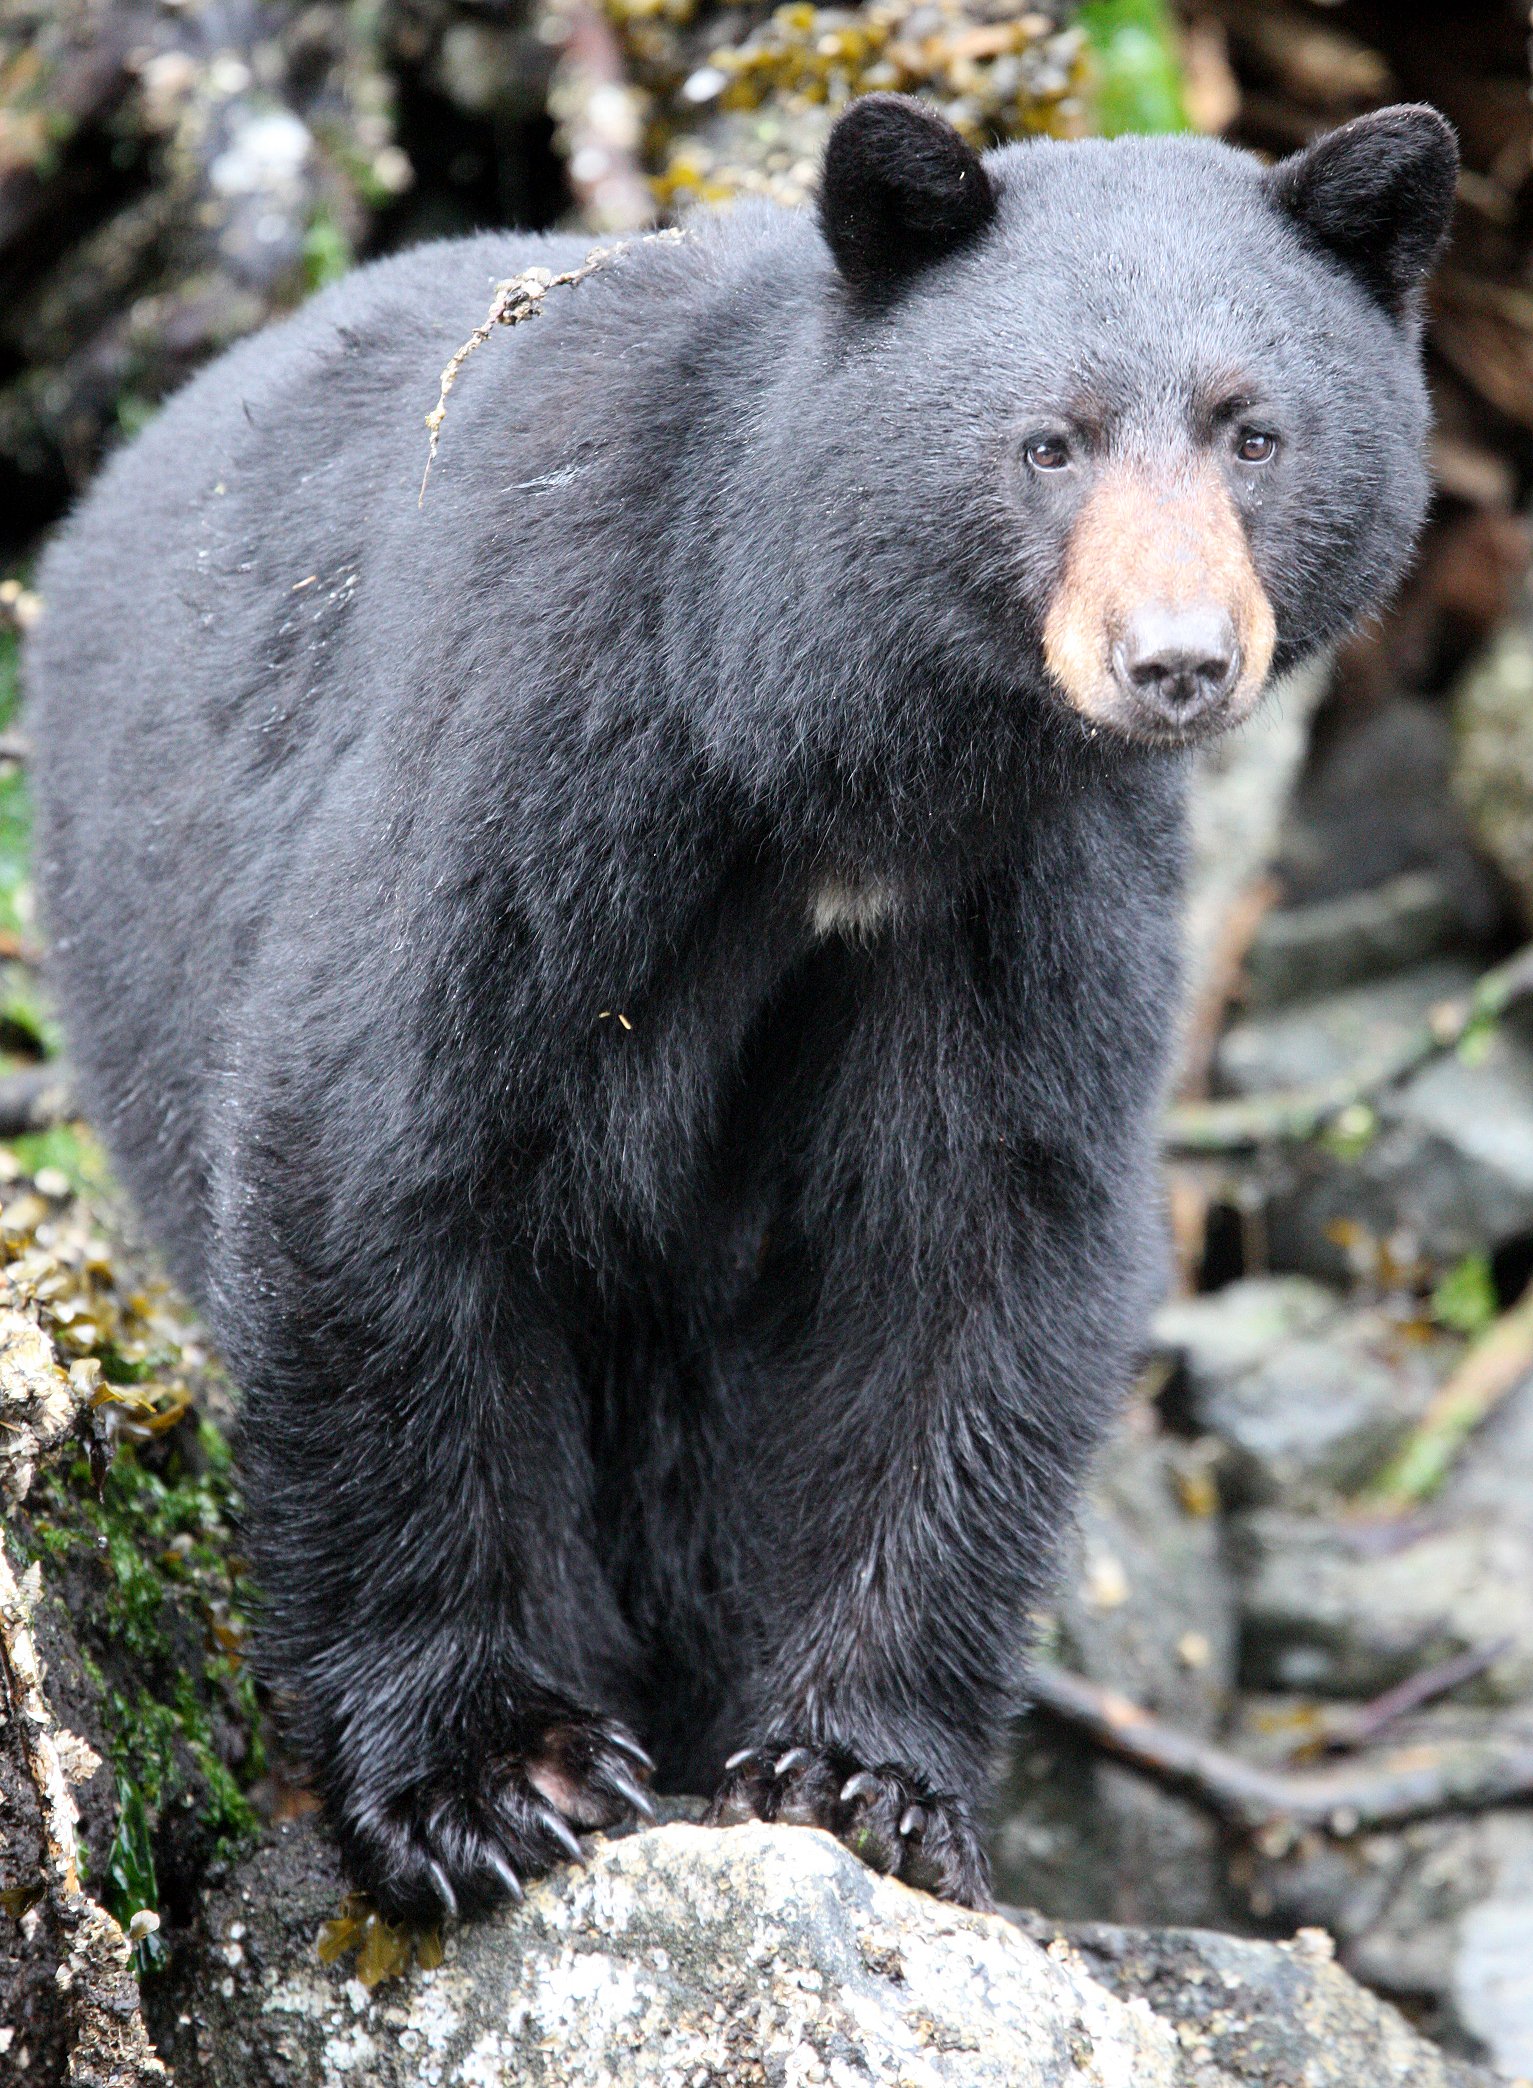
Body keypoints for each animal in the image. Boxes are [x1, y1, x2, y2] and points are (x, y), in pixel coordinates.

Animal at [26, 93, 1456, 1921]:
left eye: (1252, 433)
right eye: (1046, 443)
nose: (1176, 659)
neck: (838, 758)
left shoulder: (1018, 885)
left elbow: (981, 1245)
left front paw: (860, 1774)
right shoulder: (543, 741)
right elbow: (370, 1152)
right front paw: (487, 1774)